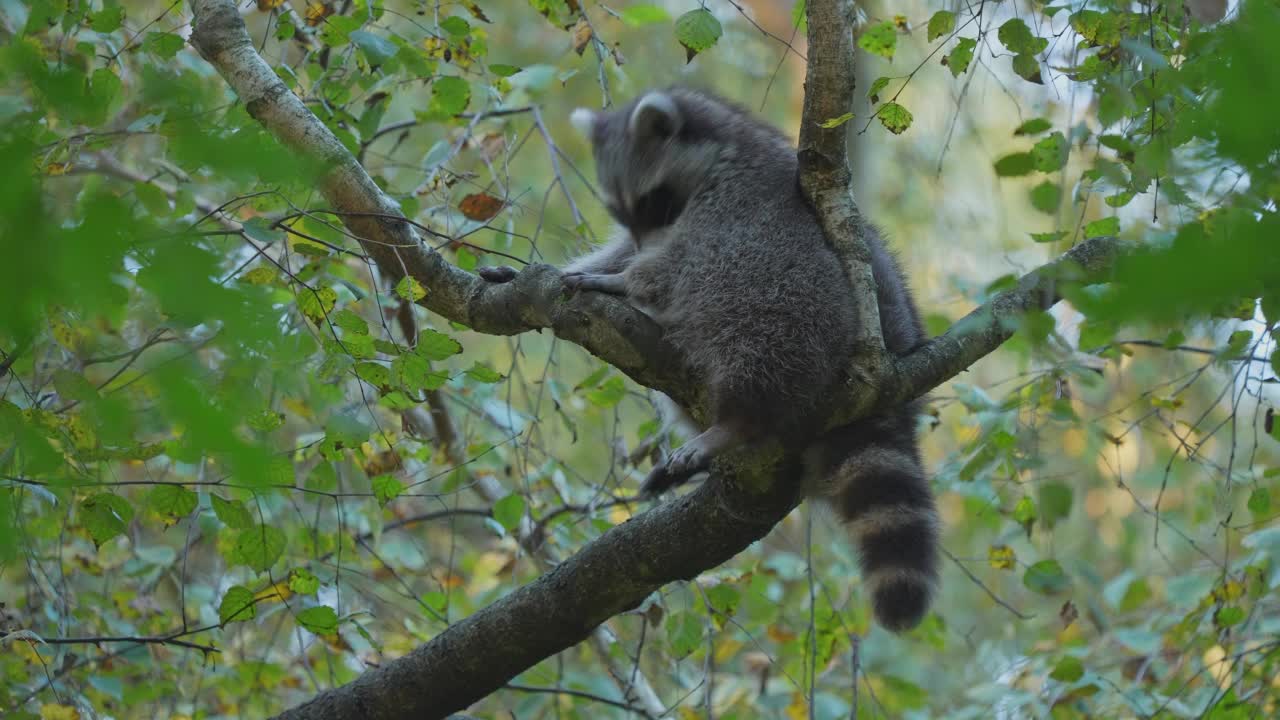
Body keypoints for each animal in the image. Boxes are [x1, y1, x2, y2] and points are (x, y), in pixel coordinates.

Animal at [509, 88, 942, 627]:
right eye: (619, 209)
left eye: (652, 201)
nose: (641, 246)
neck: (722, 143)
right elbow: (620, 253)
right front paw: (556, 271)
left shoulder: (738, 199)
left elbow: (684, 260)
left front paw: (624, 280)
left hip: (812, 308)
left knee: (739, 286)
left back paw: (737, 421)